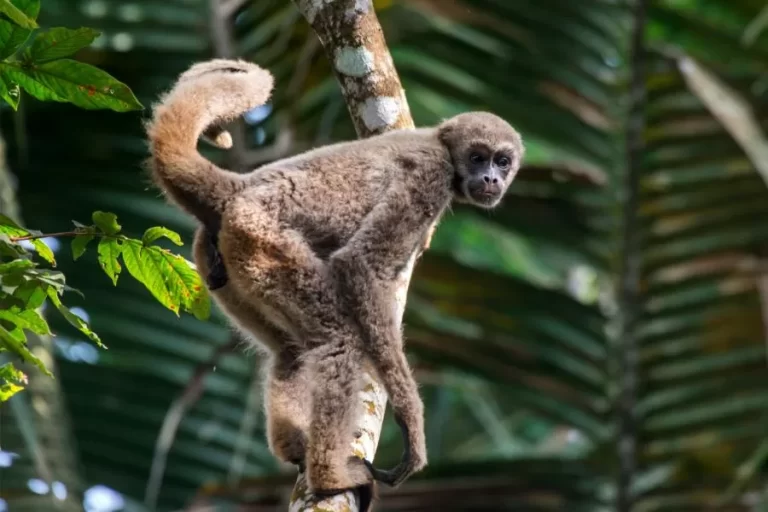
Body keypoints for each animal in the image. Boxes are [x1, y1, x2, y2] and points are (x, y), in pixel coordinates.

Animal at [145, 58, 524, 502]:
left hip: (220, 263)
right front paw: (411, 425)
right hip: (260, 238)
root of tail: (240, 187)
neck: (439, 143)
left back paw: (296, 448)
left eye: (503, 161)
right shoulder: (429, 177)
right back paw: (329, 477)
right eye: (478, 157)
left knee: (290, 351)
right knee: (338, 340)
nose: (492, 179)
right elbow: (359, 265)